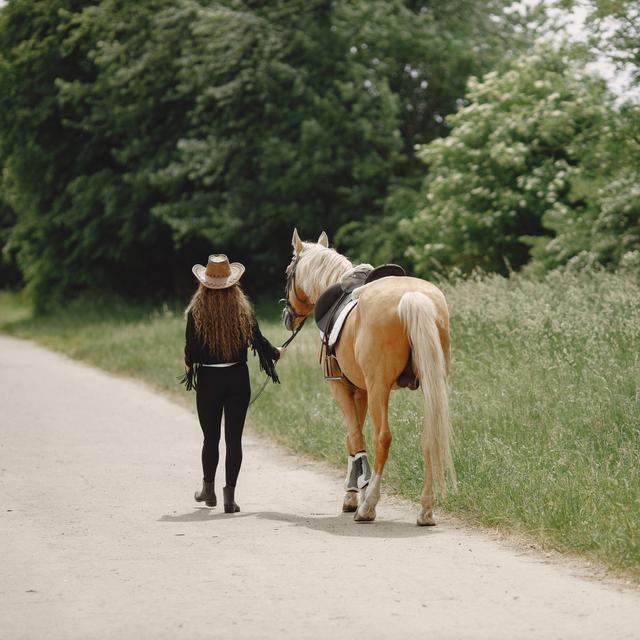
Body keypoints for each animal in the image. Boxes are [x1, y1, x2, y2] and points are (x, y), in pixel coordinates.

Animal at [282, 229, 456, 524]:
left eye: (287, 272)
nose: (287, 316)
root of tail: (412, 296)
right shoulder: (361, 390)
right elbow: (355, 438)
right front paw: (355, 492)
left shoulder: (342, 387)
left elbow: (354, 437)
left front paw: (355, 496)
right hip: (431, 384)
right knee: (428, 436)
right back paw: (425, 509)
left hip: (379, 388)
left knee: (382, 438)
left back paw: (369, 506)